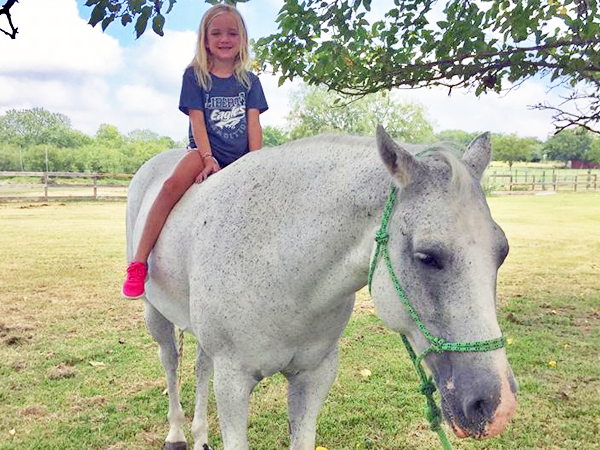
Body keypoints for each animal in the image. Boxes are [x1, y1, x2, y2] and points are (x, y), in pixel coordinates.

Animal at [126, 125, 516, 450]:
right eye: (427, 256)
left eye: (502, 252)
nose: (497, 407)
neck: (280, 266)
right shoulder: (232, 382)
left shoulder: (314, 377)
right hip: (155, 315)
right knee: (171, 363)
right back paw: (177, 435)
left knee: (199, 367)